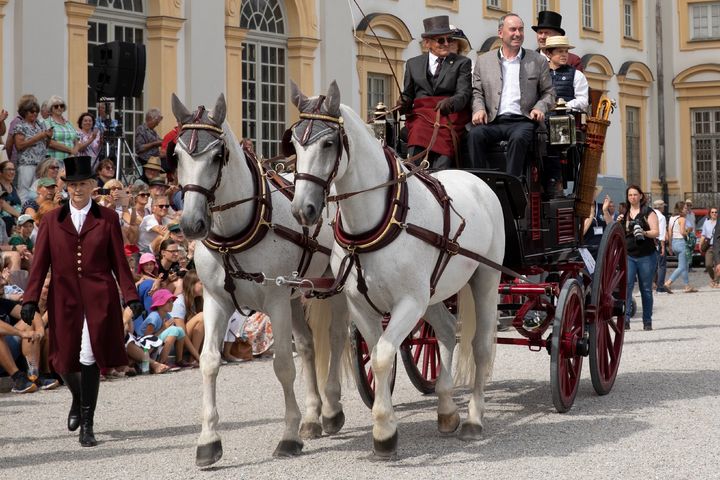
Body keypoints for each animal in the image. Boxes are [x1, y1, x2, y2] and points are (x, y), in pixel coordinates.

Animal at [170, 93, 348, 464]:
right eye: (177, 155)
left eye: (217, 156)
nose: (192, 223)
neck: (236, 231)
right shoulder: (216, 301)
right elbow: (209, 362)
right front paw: (208, 440)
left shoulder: (276, 301)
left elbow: (282, 365)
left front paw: (288, 435)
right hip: (297, 293)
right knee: (308, 346)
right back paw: (313, 416)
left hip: (333, 286)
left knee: (337, 336)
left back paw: (331, 409)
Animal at [288, 81, 506, 458]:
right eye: (295, 142)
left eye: (328, 143)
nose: (304, 209)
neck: (377, 222)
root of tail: (477, 180)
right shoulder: (362, 306)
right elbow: (378, 355)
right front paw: (384, 423)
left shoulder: (408, 303)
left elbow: (383, 356)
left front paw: (384, 431)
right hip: (434, 292)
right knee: (445, 330)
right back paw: (446, 409)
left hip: (485, 278)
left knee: (479, 346)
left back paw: (474, 419)